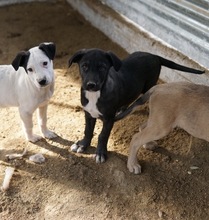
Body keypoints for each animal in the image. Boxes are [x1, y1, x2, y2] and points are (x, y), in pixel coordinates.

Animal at [68, 49, 204, 163]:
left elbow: (103, 136)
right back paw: (122, 109)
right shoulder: (88, 113)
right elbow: (88, 130)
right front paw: (82, 144)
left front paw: (100, 153)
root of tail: (154, 55)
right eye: (84, 66)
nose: (91, 85)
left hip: (149, 85)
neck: (95, 95)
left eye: (102, 68)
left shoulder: (109, 119)